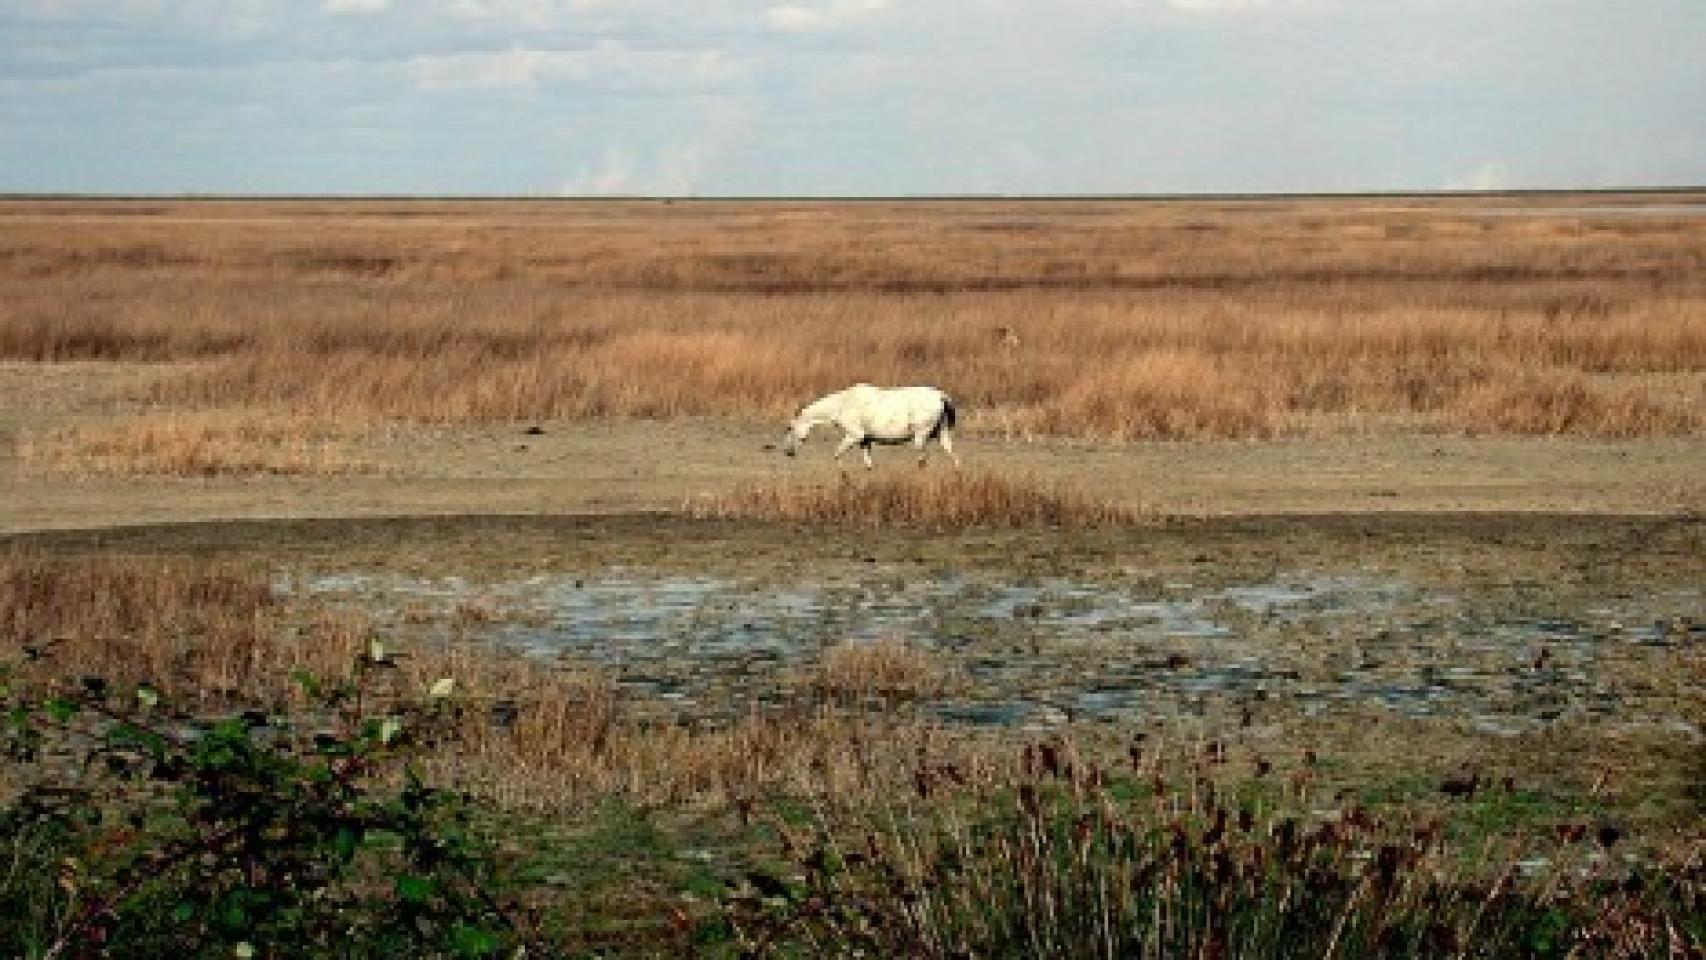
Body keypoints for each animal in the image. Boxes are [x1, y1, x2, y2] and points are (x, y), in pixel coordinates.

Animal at [781, 383, 961, 469]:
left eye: (789, 428)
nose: (788, 452)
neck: (842, 404)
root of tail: (941, 396)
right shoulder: (865, 440)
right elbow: (868, 465)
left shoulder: (854, 436)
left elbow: (836, 454)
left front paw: (844, 478)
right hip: (940, 433)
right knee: (953, 455)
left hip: (920, 436)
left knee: (923, 460)